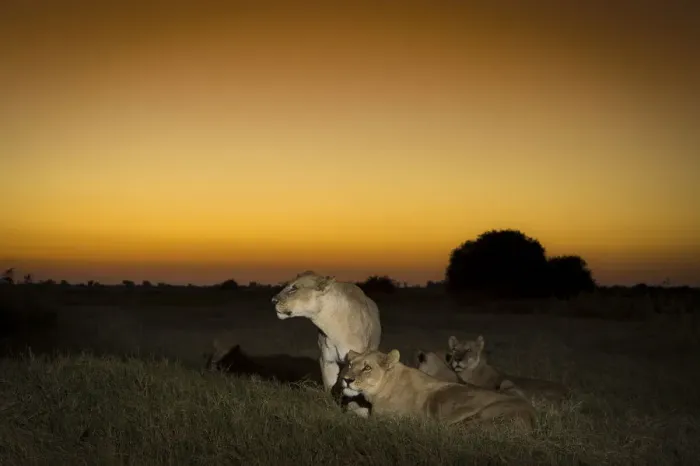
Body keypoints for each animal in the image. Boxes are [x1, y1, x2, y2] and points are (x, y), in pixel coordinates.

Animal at [272, 271, 382, 416]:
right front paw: (332, 408)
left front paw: (353, 409)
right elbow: (329, 386)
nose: (273, 300)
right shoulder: (327, 360)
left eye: (294, 288)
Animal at [341, 348, 536, 431]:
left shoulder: (389, 421)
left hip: (478, 419)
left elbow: (357, 417)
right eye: (350, 364)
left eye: (367, 368)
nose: (346, 379)